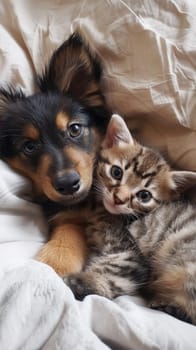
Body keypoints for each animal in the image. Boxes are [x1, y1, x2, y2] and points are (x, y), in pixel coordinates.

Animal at [0, 32, 110, 274]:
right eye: (29, 146)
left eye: (75, 129)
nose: (68, 185)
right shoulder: (67, 217)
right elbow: (66, 236)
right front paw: (52, 265)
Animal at [65, 115, 196, 326]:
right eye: (116, 172)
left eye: (144, 195)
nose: (119, 199)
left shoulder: (131, 255)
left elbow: (115, 275)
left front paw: (79, 282)